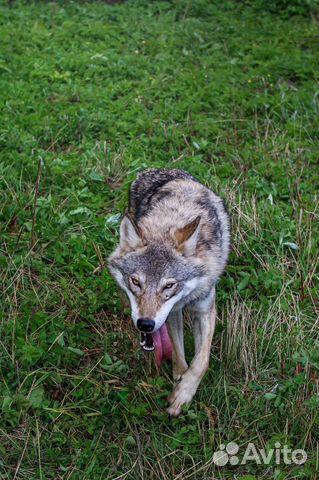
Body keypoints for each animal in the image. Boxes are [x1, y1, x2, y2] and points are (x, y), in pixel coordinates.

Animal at [109, 168, 231, 416]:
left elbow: (201, 361)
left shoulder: (204, 309)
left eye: (168, 286)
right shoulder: (174, 313)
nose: (145, 324)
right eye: (135, 281)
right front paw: (178, 382)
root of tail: (152, 169)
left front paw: (183, 394)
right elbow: (178, 355)